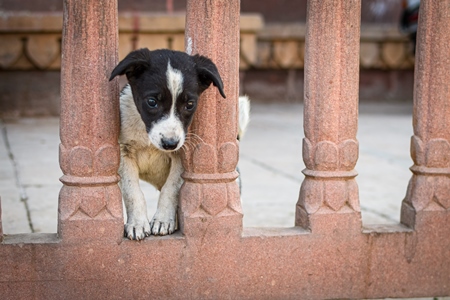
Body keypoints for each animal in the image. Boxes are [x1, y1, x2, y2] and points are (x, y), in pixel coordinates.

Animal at [109, 49, 250, 240]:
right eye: (152, 102)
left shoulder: (182, 155)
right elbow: (133, 191)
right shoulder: (124, 152)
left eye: (189, 105)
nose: (170, 143)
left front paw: (162, 220)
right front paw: (137, 223)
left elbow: (171, 189)